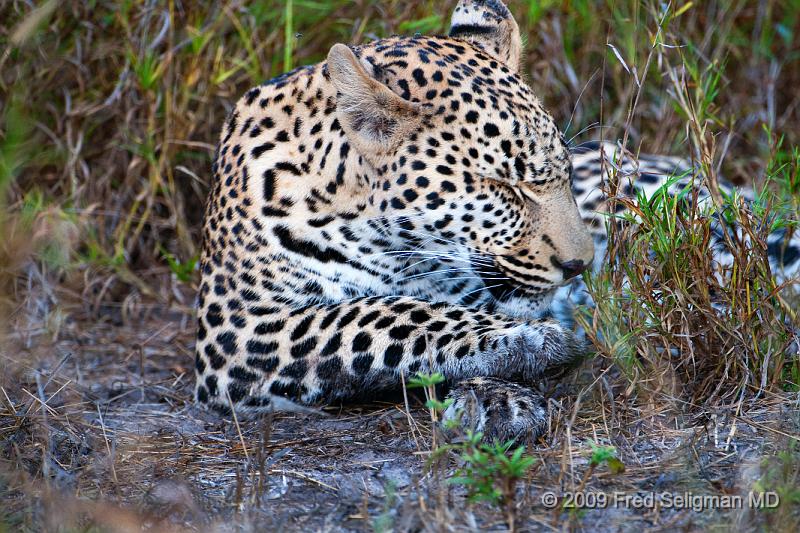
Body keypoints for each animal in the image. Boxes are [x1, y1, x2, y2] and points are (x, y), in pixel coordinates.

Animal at [195, 0, 800, 440]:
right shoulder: (238, 329)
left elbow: (420, 313)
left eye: (558, 174)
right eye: (505, 187)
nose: (580, 266)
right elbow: (380, 315)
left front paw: (510, 371)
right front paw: (523, 353)